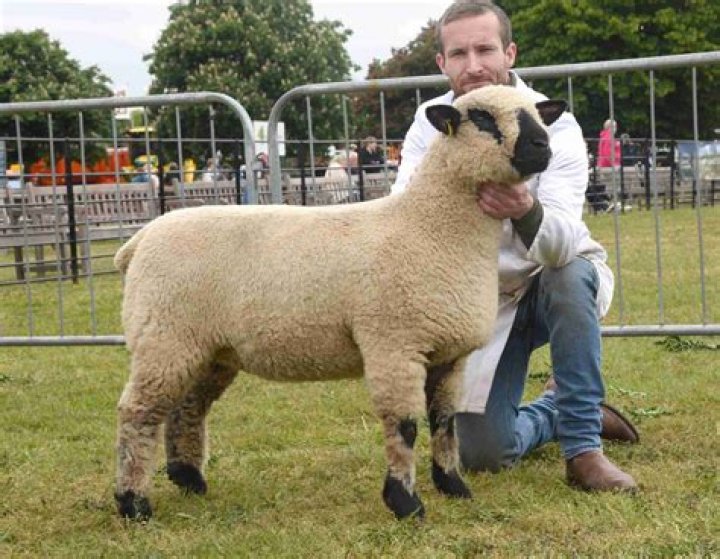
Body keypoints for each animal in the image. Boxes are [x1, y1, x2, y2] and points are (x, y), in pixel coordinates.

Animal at [113, 85, 567, 522]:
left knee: (186, 408)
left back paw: (189, 479)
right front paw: (405, 503)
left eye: (540, 114)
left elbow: (444, 422)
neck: (428, 226)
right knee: (137, 413)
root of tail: (141, 238)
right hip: (165, 336)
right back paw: (133, 503)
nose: (543, 145)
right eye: (482, 117)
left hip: (209, 349)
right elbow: (405, 427)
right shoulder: (394, 345)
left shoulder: (449, 355)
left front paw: (453, 486)